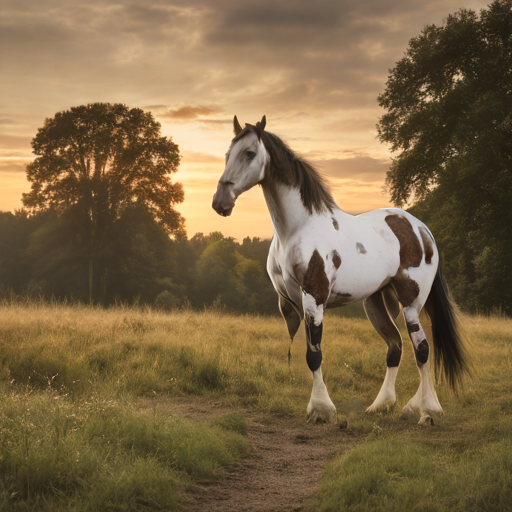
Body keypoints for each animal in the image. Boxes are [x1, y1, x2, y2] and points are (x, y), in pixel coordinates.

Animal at [210, 115, 470, 424]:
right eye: (228, 154)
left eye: (249, 153)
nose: (220, 202)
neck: (297, 229)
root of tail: (422, 229)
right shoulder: (296, 303)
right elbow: (311, 353)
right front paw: (319, 407)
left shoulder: (314, 299)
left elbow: (314, 356)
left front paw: (321, 409)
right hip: (376, 303)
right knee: (395, 347)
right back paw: (387, 405)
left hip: (411, 302)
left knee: (422, 349)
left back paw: (427, 410)